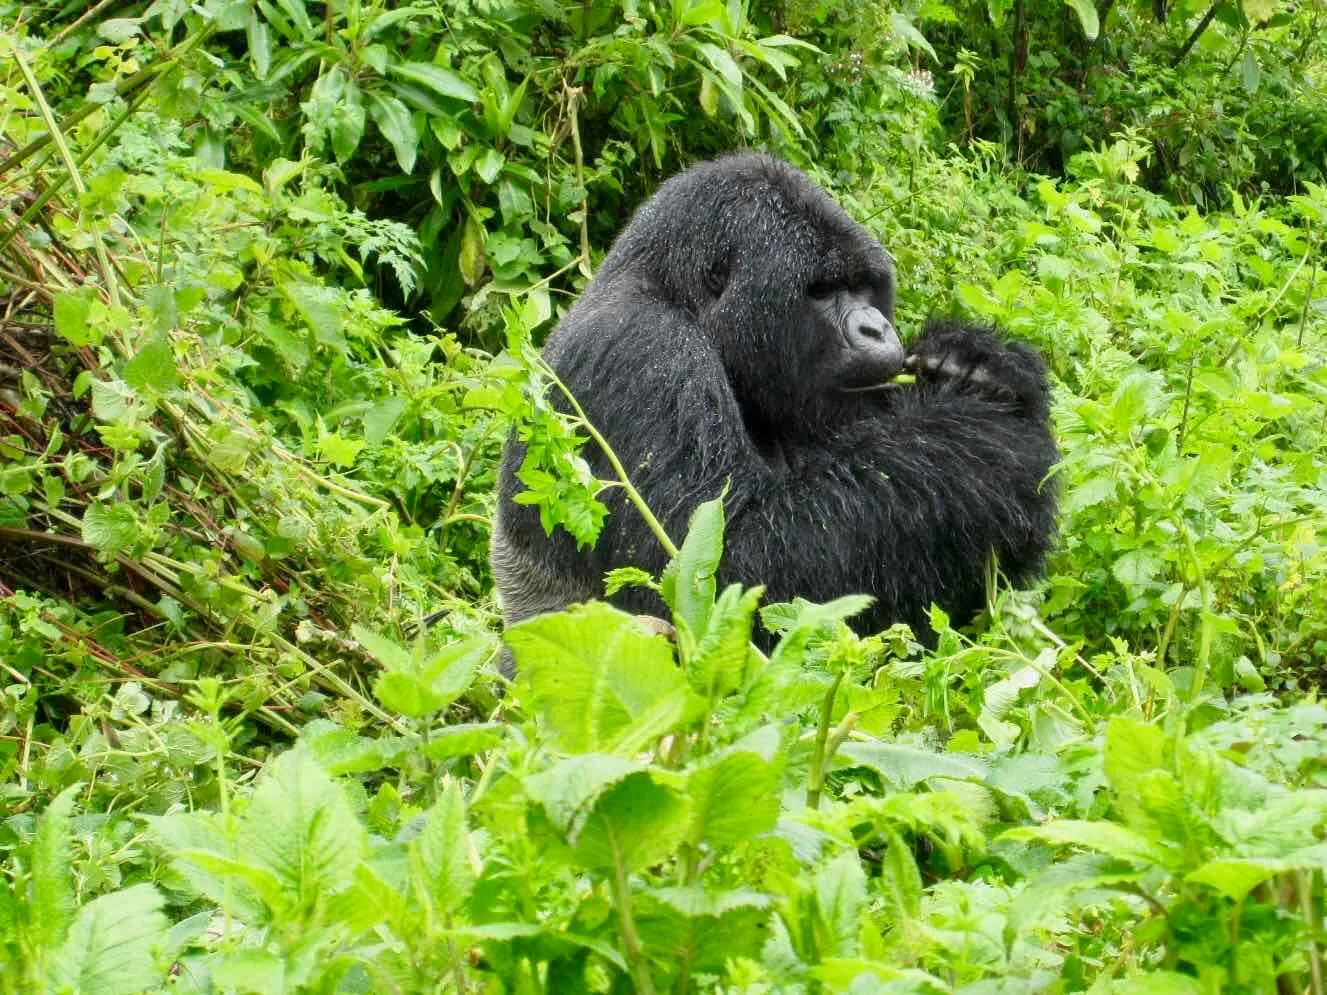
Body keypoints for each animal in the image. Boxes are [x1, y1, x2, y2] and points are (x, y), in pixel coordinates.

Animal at [490, 153, 1056, 655]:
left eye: (863, 286)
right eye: (822, 291)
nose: (876, 328)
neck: (673, 291)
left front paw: (979, 363)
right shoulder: (637, 353)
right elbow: (726, 574)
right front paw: (988, 446)